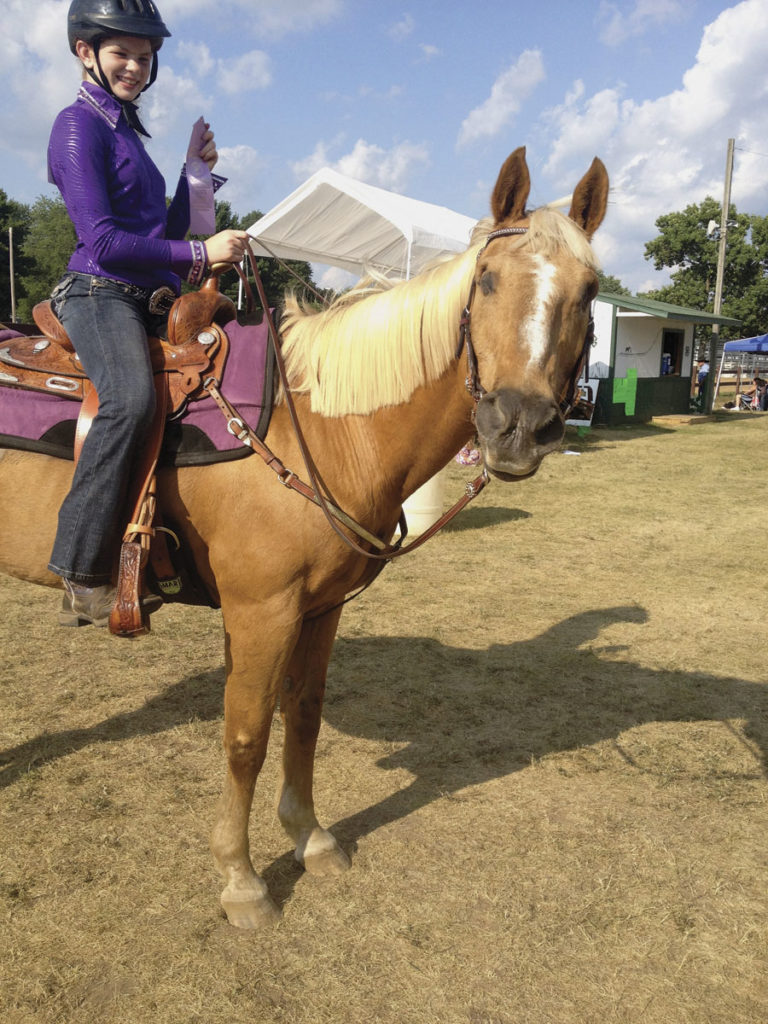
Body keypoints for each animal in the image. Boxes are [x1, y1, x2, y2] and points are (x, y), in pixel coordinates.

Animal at [0, 147, 608, 928]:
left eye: (589, 291)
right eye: (488, 279)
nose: (519, 427)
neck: (323, 427)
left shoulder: (320, 610)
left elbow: (305, 718)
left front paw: (310, 838)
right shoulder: (262, 612)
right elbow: (246, 736)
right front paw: (241, 880)